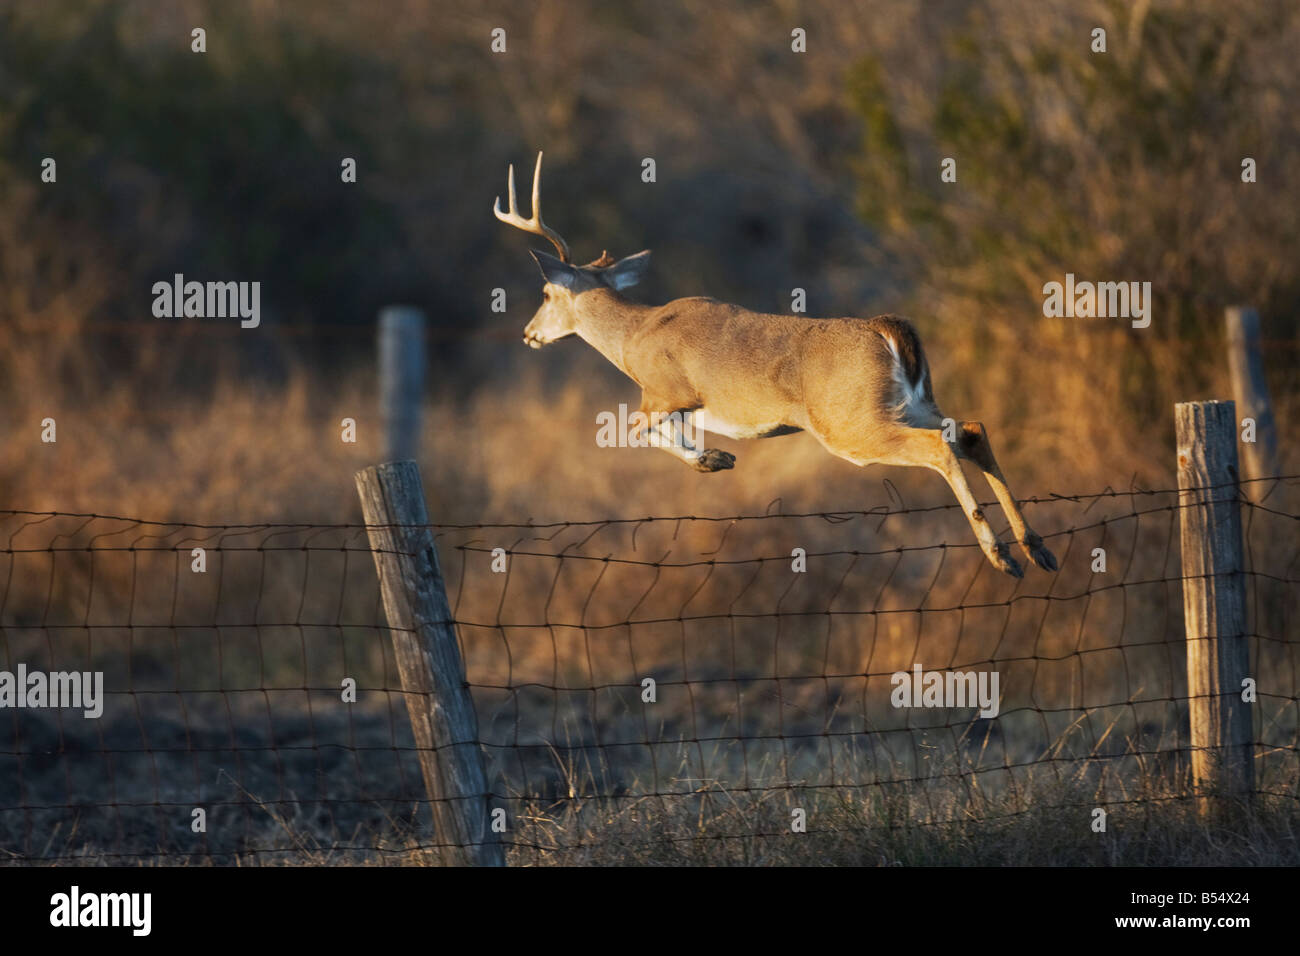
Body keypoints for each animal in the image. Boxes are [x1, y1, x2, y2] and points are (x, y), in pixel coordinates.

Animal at [493, 152, 1058, 577]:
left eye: (546, 293)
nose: (528, 334)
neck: (633, 337)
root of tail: (885, 328)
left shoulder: (666, 391)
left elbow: (637, 429)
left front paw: (712, 458)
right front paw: (715, 457)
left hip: (850, 423)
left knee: (939, 446)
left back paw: (1001, 556)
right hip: (909, 403)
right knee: (971, 429)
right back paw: (1036, 549)